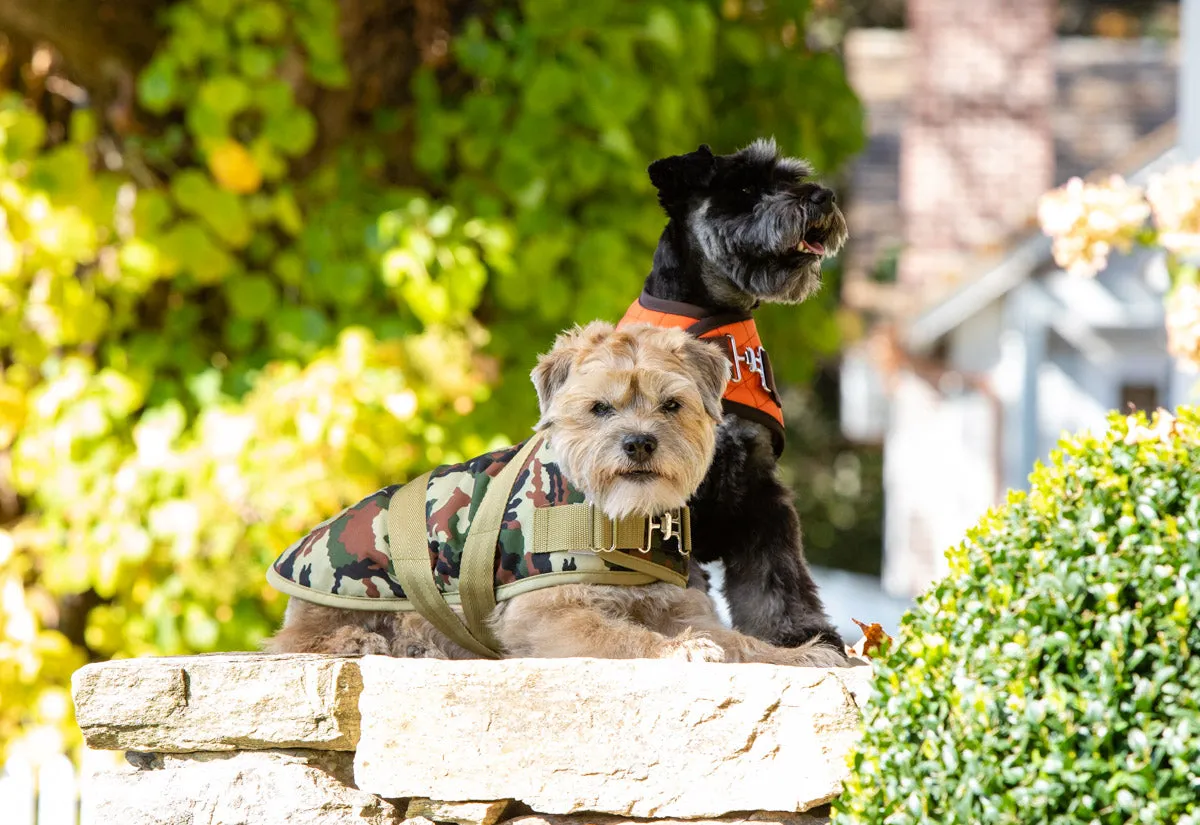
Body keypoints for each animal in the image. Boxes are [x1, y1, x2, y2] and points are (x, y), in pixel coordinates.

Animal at [265, 318, 844, 666]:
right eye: (600, 408)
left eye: (672, 405)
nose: (639, 443)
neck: (619, 519)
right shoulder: (548, 615)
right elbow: (623, 637)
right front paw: (679, 652)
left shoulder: (682, 608)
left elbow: (741, 642)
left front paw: (798, 654)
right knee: (296, 641)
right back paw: (367, 641)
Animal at [624, 140, 849, 657]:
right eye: (744, 188)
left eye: (790, 177)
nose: (822, 196)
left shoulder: (759, 492)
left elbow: (778, 576)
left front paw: (800, 633)